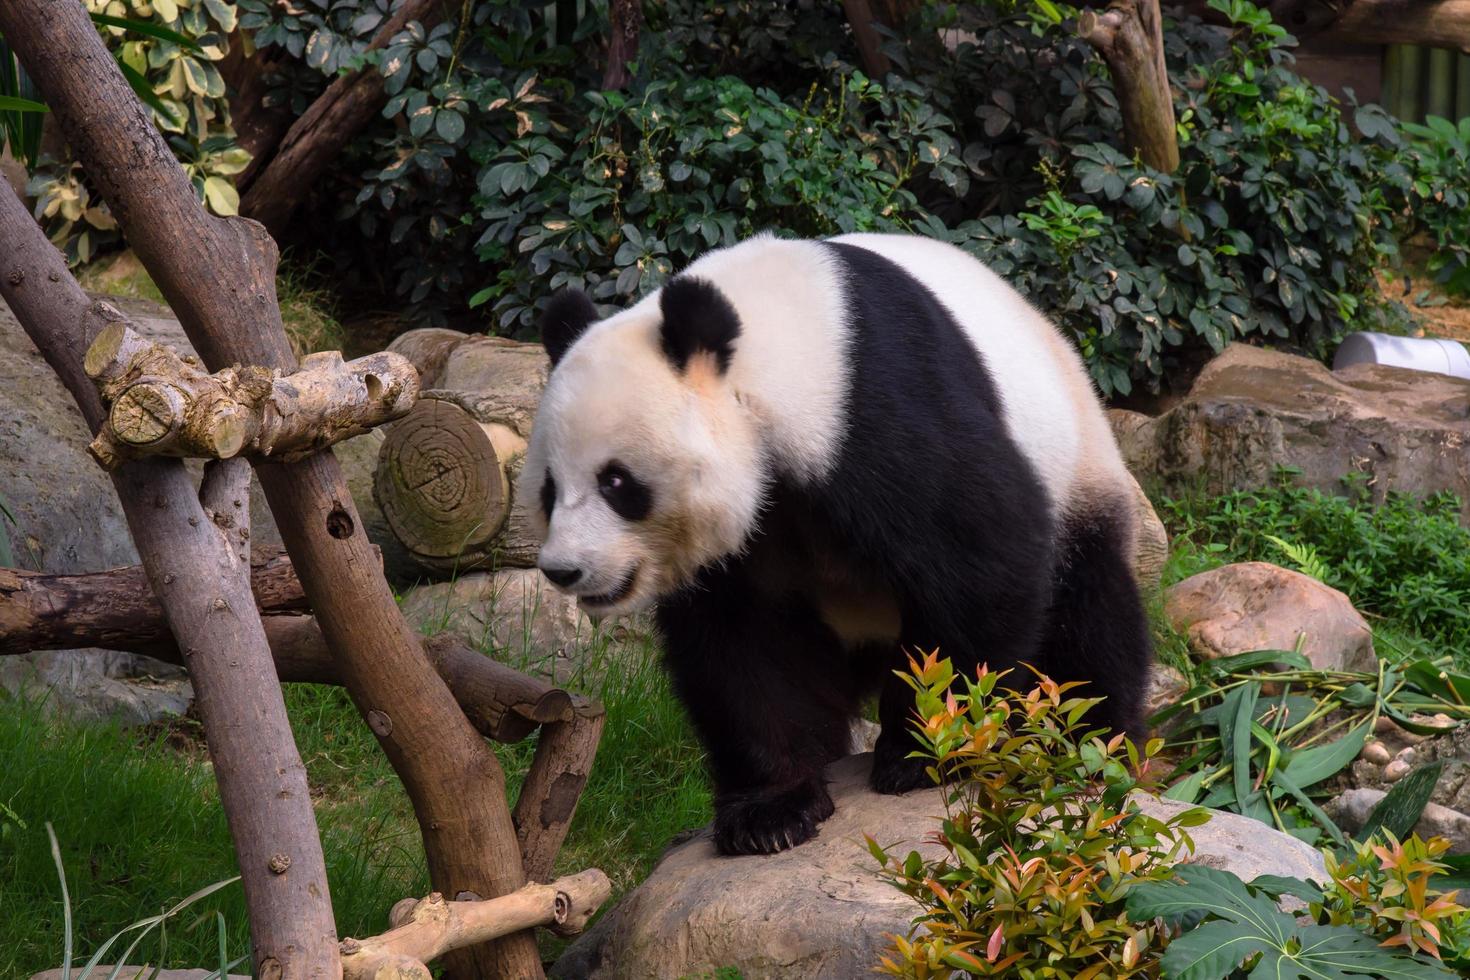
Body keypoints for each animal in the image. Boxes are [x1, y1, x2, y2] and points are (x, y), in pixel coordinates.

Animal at [523, 233, 1152, 852]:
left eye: (617, 482)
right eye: (550, 489)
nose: (564, 570)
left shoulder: (877, 410)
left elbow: (983, 563)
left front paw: (922, 754)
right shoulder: (746, 542)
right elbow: (743, 646)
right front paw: (771, 812)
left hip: (1076, 464)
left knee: (1088, 620)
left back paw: (1088, 747)